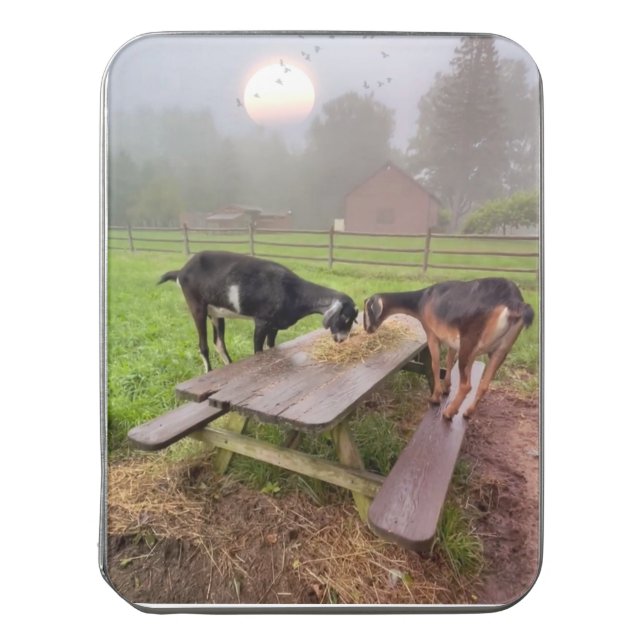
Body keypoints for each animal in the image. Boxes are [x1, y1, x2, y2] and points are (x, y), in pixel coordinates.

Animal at [159, 251, 359, 372]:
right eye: (345, 317)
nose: (342, 339)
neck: (293, 292)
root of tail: (181, 271)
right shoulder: (261, 322)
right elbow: (258, 350)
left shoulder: (274, 326)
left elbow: (270, 346)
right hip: (197, 307)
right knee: (203, 346)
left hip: (216, 313)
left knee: (219, 343)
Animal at [363, 277, 534, 420]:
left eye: (367, 310)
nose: (367, 329)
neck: (423, 300)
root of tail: (514, 302)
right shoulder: (453, 341)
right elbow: (449, 359)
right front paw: (446, 388)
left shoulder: (432, 335)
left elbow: (435, 364)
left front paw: (435, 397)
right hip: (500, 351)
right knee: (484, 385)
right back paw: (467, 412)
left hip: (469, 345)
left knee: (466, 385)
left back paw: (449, 412)